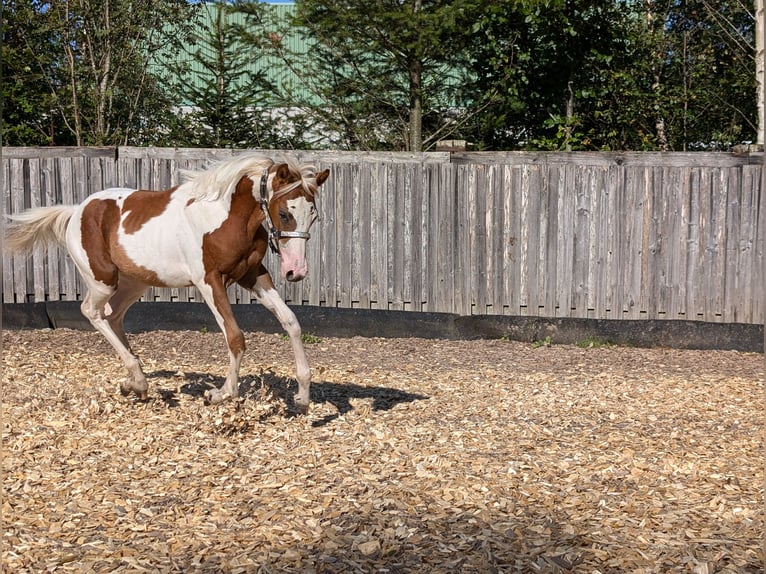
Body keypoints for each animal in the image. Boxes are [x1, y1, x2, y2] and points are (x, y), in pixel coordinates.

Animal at [5, 155, 330, 412]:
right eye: (285, 213)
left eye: (313, 216)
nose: (296, 271)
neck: (224, 217)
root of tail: (76, 212)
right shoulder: (210, 281)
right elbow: (235, 337)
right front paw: (220, 394)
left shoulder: (253, 276)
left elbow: (291, 322)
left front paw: (302, 397)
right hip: (103, 281)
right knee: (92, 312)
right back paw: (137, 378)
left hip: (134, 283)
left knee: (115, 316)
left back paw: (134, 382)